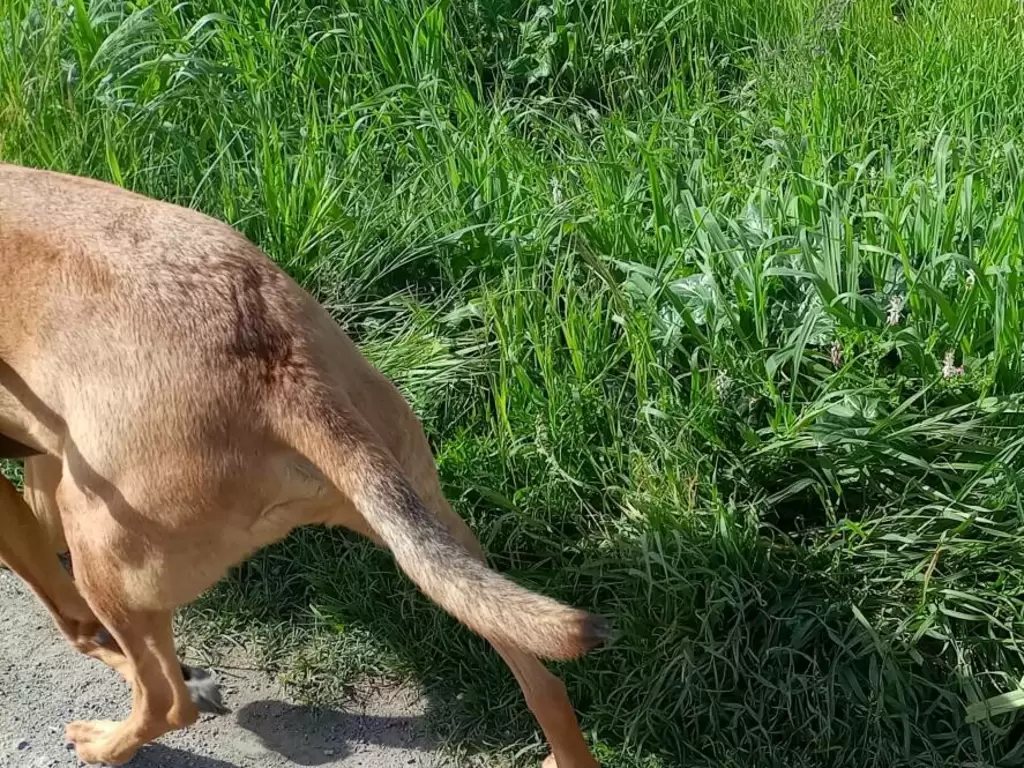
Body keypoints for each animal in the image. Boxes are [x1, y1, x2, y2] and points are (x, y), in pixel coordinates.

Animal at [0, 163, 606, 768]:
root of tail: (280, 371)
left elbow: (72, 618)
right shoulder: (43, 466)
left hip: (101, 550)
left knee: (166, 704)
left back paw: (105, 743)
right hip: (437, 530)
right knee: (545, 685)